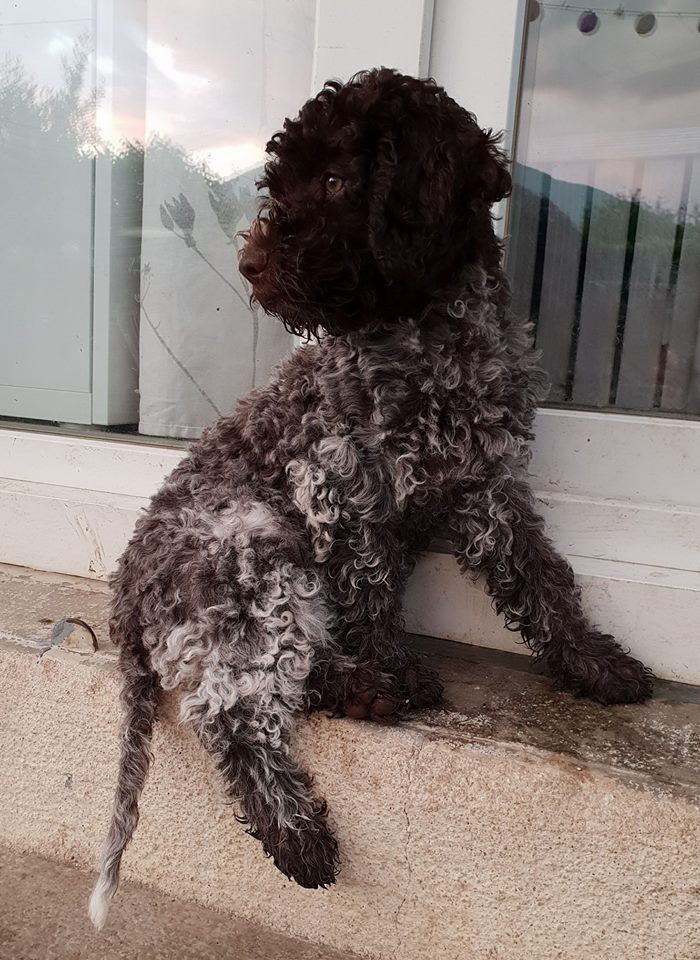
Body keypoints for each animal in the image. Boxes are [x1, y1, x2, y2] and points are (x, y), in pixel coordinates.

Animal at [89, 68, 653, 928]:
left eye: (333, 179)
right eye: (283, 181)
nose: (251, 265)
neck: (432, 341)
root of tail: (127, 599)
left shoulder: (490, 488)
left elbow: (544, 580)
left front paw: (595, 663)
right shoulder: (340, 488)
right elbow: (371, 589)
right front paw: (388, 659)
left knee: (284, 675)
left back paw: (360, 690)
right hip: (251, 546)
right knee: (230, 705)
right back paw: (305, 826)